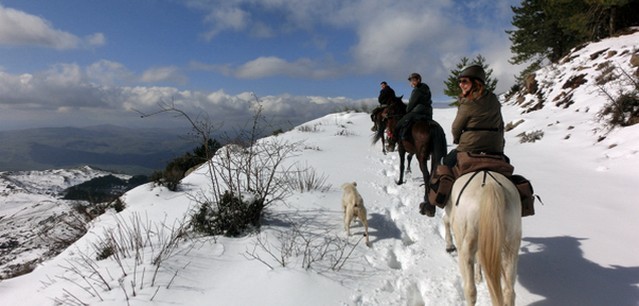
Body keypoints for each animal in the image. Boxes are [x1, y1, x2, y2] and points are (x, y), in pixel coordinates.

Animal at [442, 171, 524, 306]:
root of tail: (491, 185)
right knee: (509, 291)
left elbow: (445, 220)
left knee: (470, 291)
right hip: (511, 246)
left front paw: (449, 246)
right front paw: (479, 276)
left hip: (466, 248)